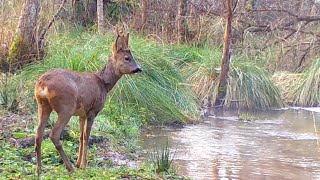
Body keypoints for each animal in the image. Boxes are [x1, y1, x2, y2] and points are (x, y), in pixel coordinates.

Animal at [33, 31, 141, 174]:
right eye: (127, 58)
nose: (139, 69)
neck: (104, 84)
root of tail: (42, 83)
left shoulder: (82, 114)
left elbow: (80, 136)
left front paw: (79, 163)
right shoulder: (92, 111)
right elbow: (86, 137)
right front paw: (84, 165)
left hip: (42, 105)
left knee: (38, 134)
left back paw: (39, 169)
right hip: (66, 107)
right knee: (54, 135)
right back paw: (69, 167)